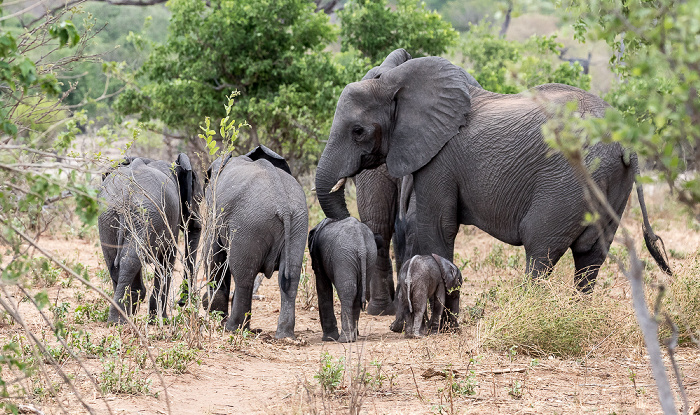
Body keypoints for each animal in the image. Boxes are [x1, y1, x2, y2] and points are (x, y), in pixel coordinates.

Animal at [97, 154, 200, 324]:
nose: (181, 303)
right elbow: (167, 259)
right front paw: (162, 320)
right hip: (144, 216)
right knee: (129, 261)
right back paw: (119, 320)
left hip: (109, 216)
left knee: (115, 261)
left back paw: (120, 318)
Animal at [198, 146, 304, 342]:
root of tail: (283, 206)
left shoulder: (216, 213)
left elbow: (213, 255)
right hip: (298, 224)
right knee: (290, 279)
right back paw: (284, 336)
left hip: (249, 224)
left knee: (243, 277)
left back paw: (232, 329)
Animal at [314, 49, 668, 296]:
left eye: (358, 131)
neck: (397, 82)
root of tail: (626, 144)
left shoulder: (440, 159)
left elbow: (436, 228)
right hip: (612, 183)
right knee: (591, 254)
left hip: (569, 178)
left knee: (540, 247)